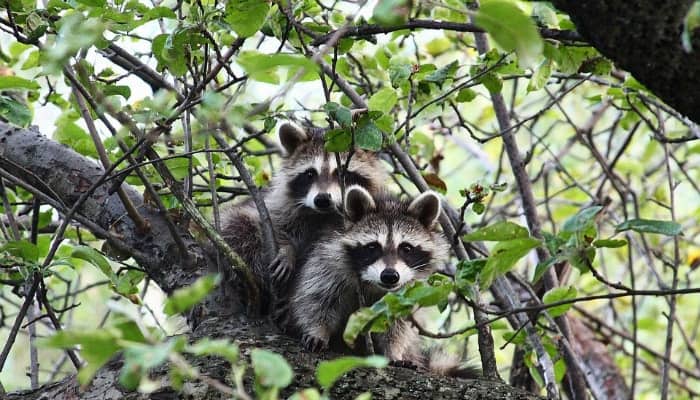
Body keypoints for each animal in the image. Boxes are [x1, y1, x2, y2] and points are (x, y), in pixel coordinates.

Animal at [221, 122, 388, 312]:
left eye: (342, 173)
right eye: (310, 174)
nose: (322, 199)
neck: (324, 215)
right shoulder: (278, 205)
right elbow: (272, 223)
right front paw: (287, 249)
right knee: (238, 226)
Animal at [288, 186, 448, 364]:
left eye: (406, 248)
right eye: (373, 247)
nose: (390, 276)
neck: (373, 284)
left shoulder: (409, 291)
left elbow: (398, 323)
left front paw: (393, 350)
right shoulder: (328, 261)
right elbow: (316, 299)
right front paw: (318, 330)